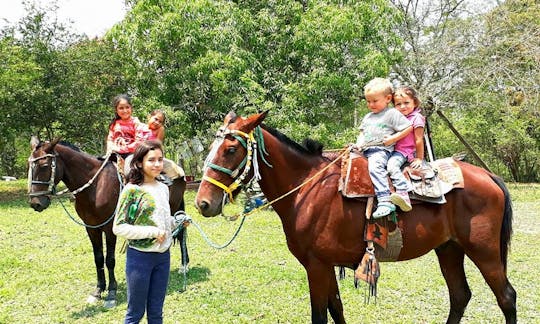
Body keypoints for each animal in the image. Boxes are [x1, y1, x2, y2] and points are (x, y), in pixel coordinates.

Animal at [28, 136, 188, 306]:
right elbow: (98, 258)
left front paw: (111, 292)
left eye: (44, 165)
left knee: (181, 233)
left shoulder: (110, 227)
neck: (96, 186)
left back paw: (184, 266)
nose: (36, 203)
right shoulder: (91, 227)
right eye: (29, 165)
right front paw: (98, 290)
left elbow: (109, 259)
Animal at [196, 112, 516, 324]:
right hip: (449, 249)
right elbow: (336, 310)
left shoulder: (316, 266)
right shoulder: (324, 265)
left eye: (231, 149)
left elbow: (320, 315)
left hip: (484, 252)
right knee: (460, 295)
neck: (308, 188)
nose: (203, 203)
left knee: (506, 297)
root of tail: (489, 176)